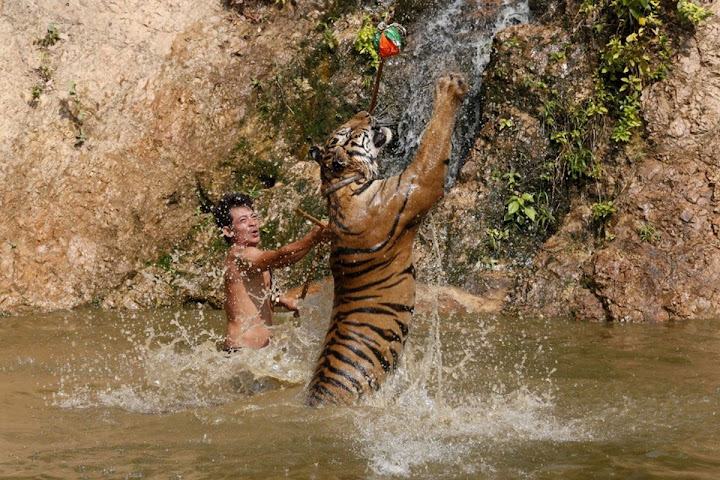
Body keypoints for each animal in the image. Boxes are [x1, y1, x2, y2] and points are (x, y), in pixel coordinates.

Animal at [304, 73, 466, 406]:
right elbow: (433, 142)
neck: (342, 188)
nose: (364, 112)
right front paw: (448, 88)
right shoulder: (418, 182)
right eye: (350, 131)